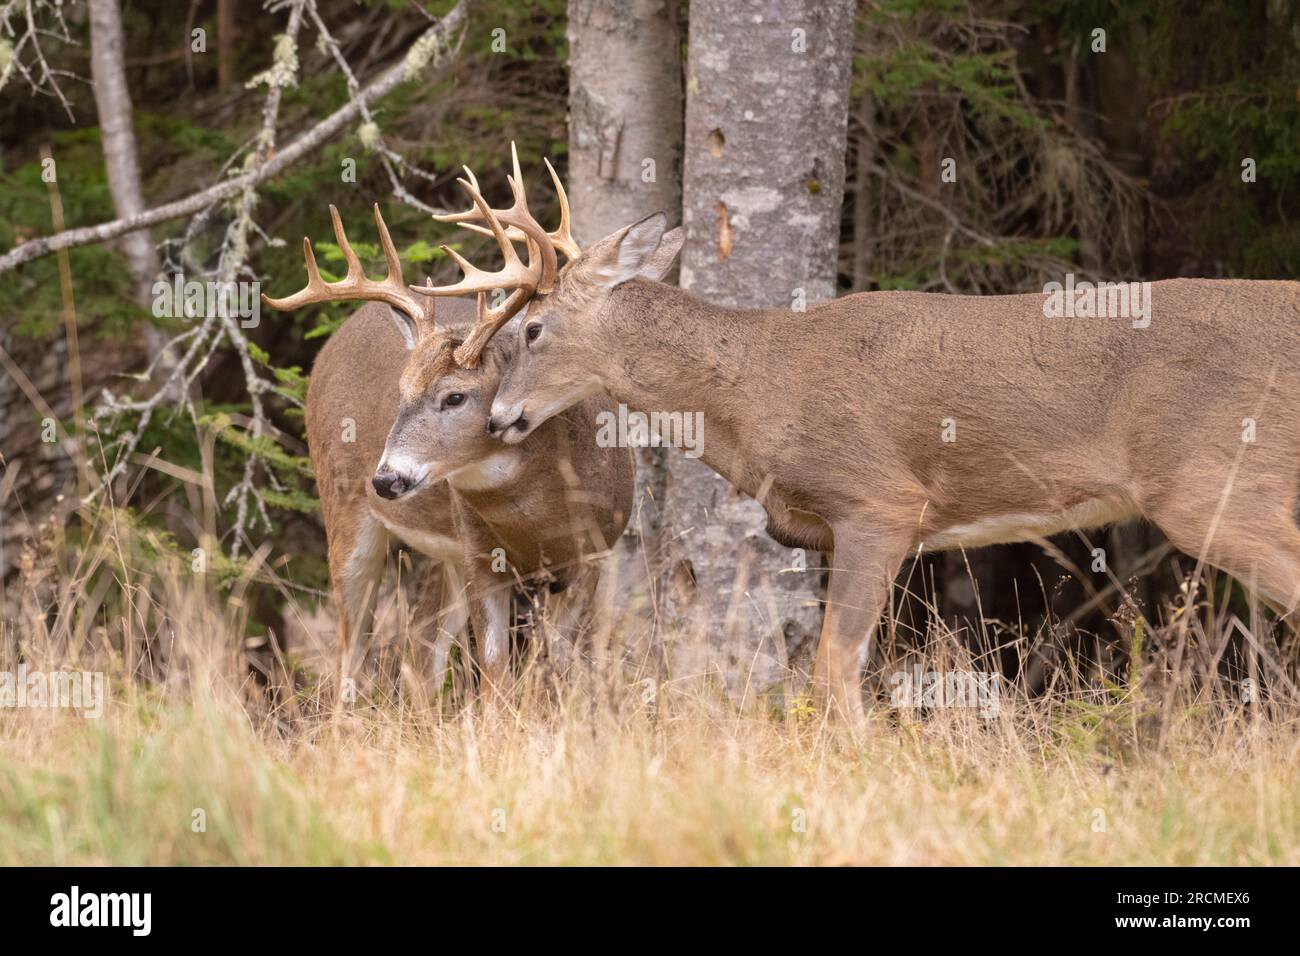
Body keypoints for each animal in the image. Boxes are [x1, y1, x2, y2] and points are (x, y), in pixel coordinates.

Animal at [261, 174, 635, 699]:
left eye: (455, 397)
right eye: (401, 392)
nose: (386, 479)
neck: (543, 512)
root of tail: (331, 345)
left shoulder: (593, 554)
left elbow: (558, 669)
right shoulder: (480, 557)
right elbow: (496, 672)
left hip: (444, 554)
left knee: (421, 648)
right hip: (344, 507)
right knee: (351, 653)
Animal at [411, 149, 1300, 721]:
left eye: (531, 329)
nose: (499, 418)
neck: (760, 386)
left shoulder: (879, 501)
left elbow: (834, 673)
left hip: (1216, 479)